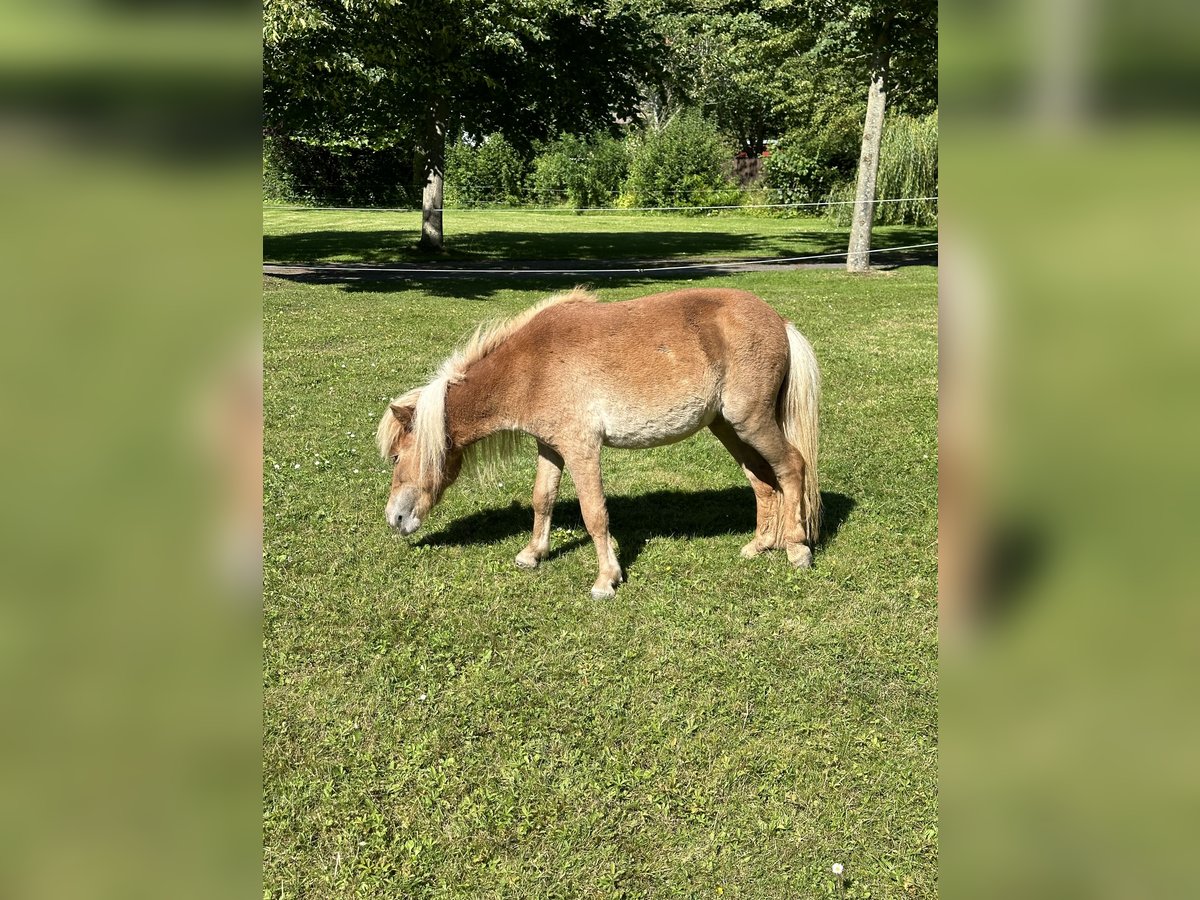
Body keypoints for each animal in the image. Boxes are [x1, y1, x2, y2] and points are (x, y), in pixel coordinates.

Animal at [379, 289, 820, 600]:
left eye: (397, 456)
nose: (394, 519)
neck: (531, 366)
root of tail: (778, 320)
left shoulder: (582, 450)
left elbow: (595, 514)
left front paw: (606, 579)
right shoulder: (551, 448)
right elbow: (543, 499)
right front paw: (532, 554)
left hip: (752, 422)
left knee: (791, 467)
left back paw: (796, 548)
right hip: (728, 427)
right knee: (763, 481)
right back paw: (759, 545)